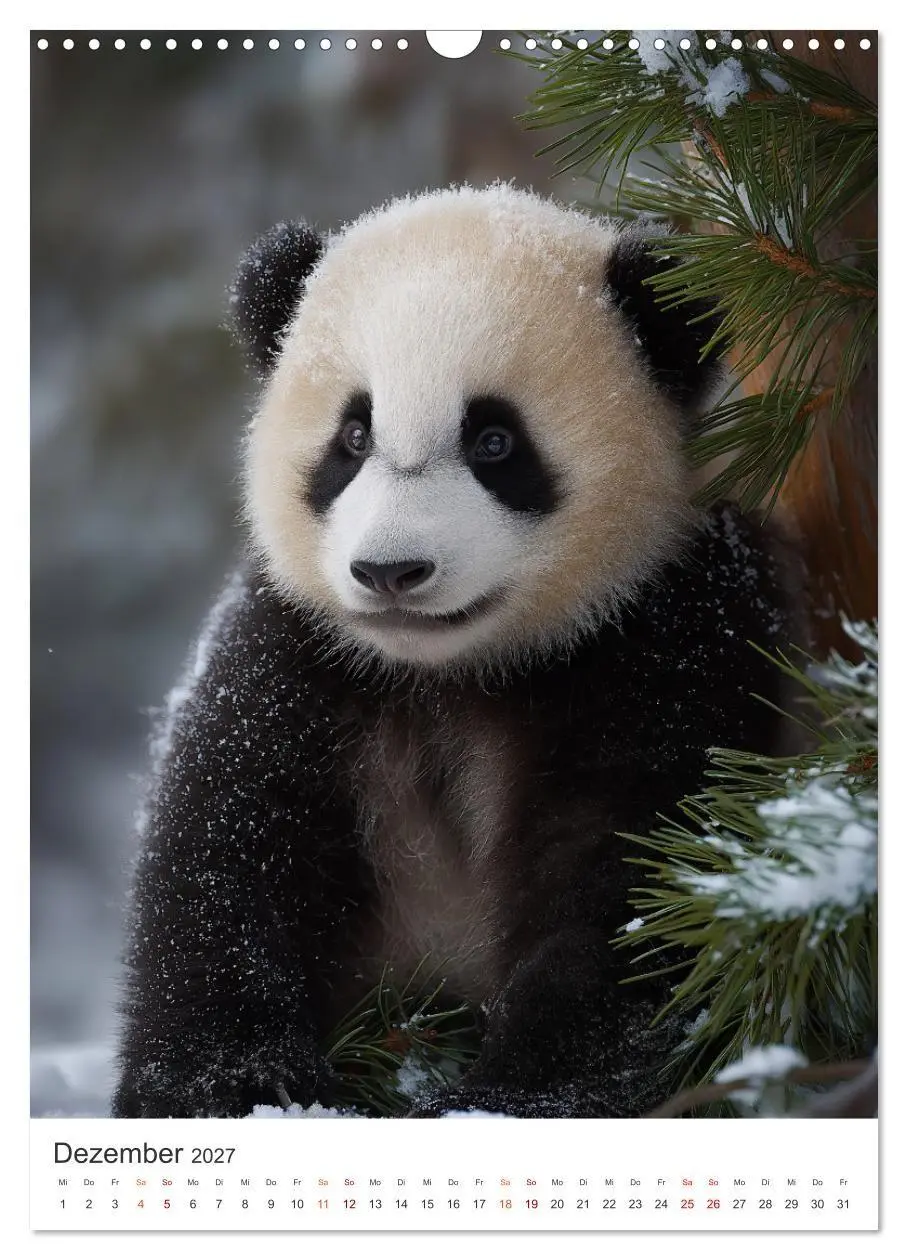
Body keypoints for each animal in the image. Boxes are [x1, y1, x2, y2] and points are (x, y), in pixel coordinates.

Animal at [112, 184, 801, 1120]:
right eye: (353, 437)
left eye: (495, 443)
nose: (391, 571)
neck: (450, 672)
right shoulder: (300, 651)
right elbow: (228, 845)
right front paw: (237, 1086)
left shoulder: (667, 631)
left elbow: (640, 876)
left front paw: (511, 1098)